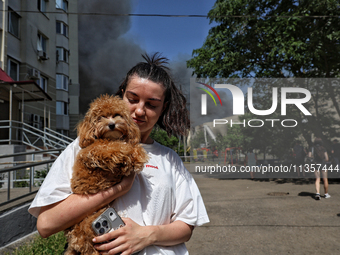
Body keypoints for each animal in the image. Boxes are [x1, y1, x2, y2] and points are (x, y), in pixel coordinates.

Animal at [64, 94, 149, 255]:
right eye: (101, 117)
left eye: (116, 115)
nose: (111, 125)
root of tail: (72, 241)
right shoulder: (93, 151)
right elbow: (112, 148)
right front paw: (126, 153)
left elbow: (131, 148)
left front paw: (137, 156)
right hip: (88, 228)